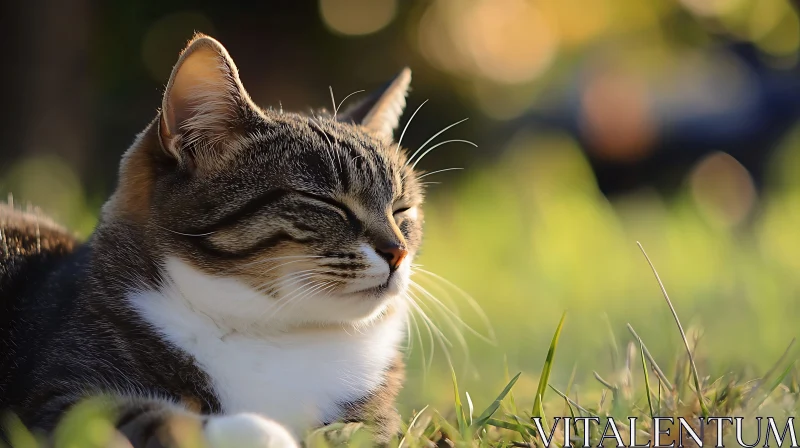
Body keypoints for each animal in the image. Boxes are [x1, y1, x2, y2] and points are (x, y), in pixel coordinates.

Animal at [0, 35, 424, 448]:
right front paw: (268, 433)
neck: (275, 334)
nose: (398, 252)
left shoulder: (376, 418)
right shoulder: (61, 396)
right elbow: (152, 418)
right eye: (326, 202)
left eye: (402, 209)